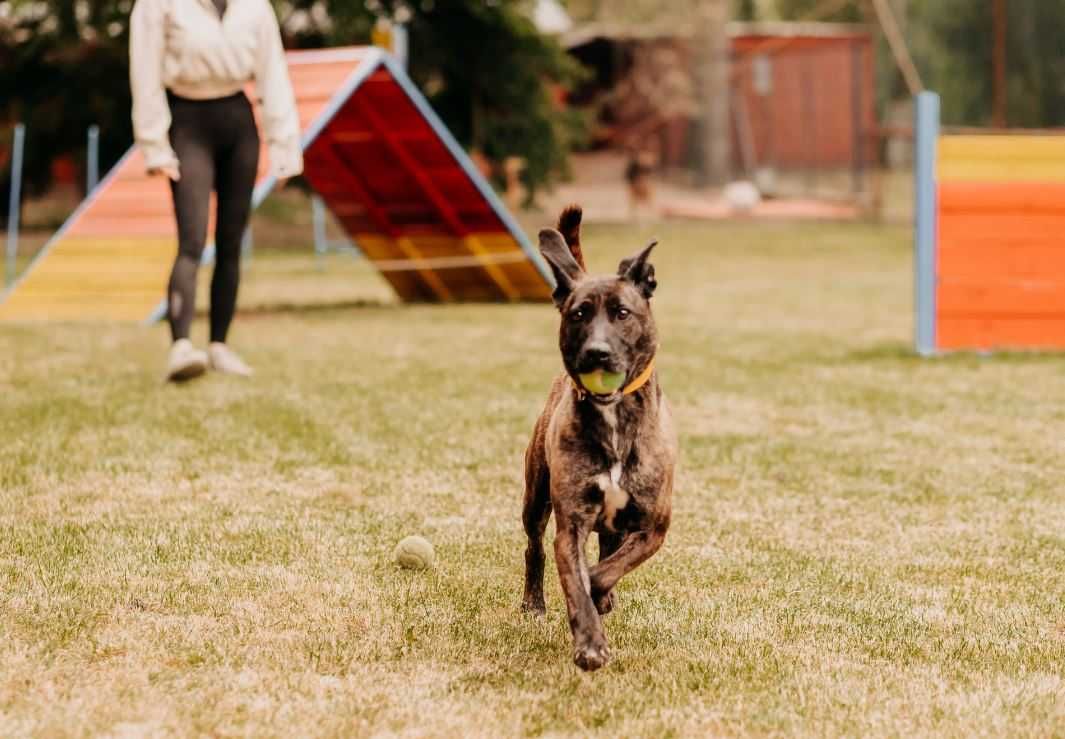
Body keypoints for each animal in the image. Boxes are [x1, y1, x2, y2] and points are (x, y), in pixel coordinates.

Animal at [521, 206, 677, 672]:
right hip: (535, 496)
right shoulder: (570, 525)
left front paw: (601, 594)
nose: (597, 353)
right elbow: (575, 580)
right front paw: (590, 643)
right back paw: (534, 602)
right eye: (579, 314)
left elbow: (605, 570)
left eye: (623, 313)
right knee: (533, 546)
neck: (613, 421)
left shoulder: (652, 526)